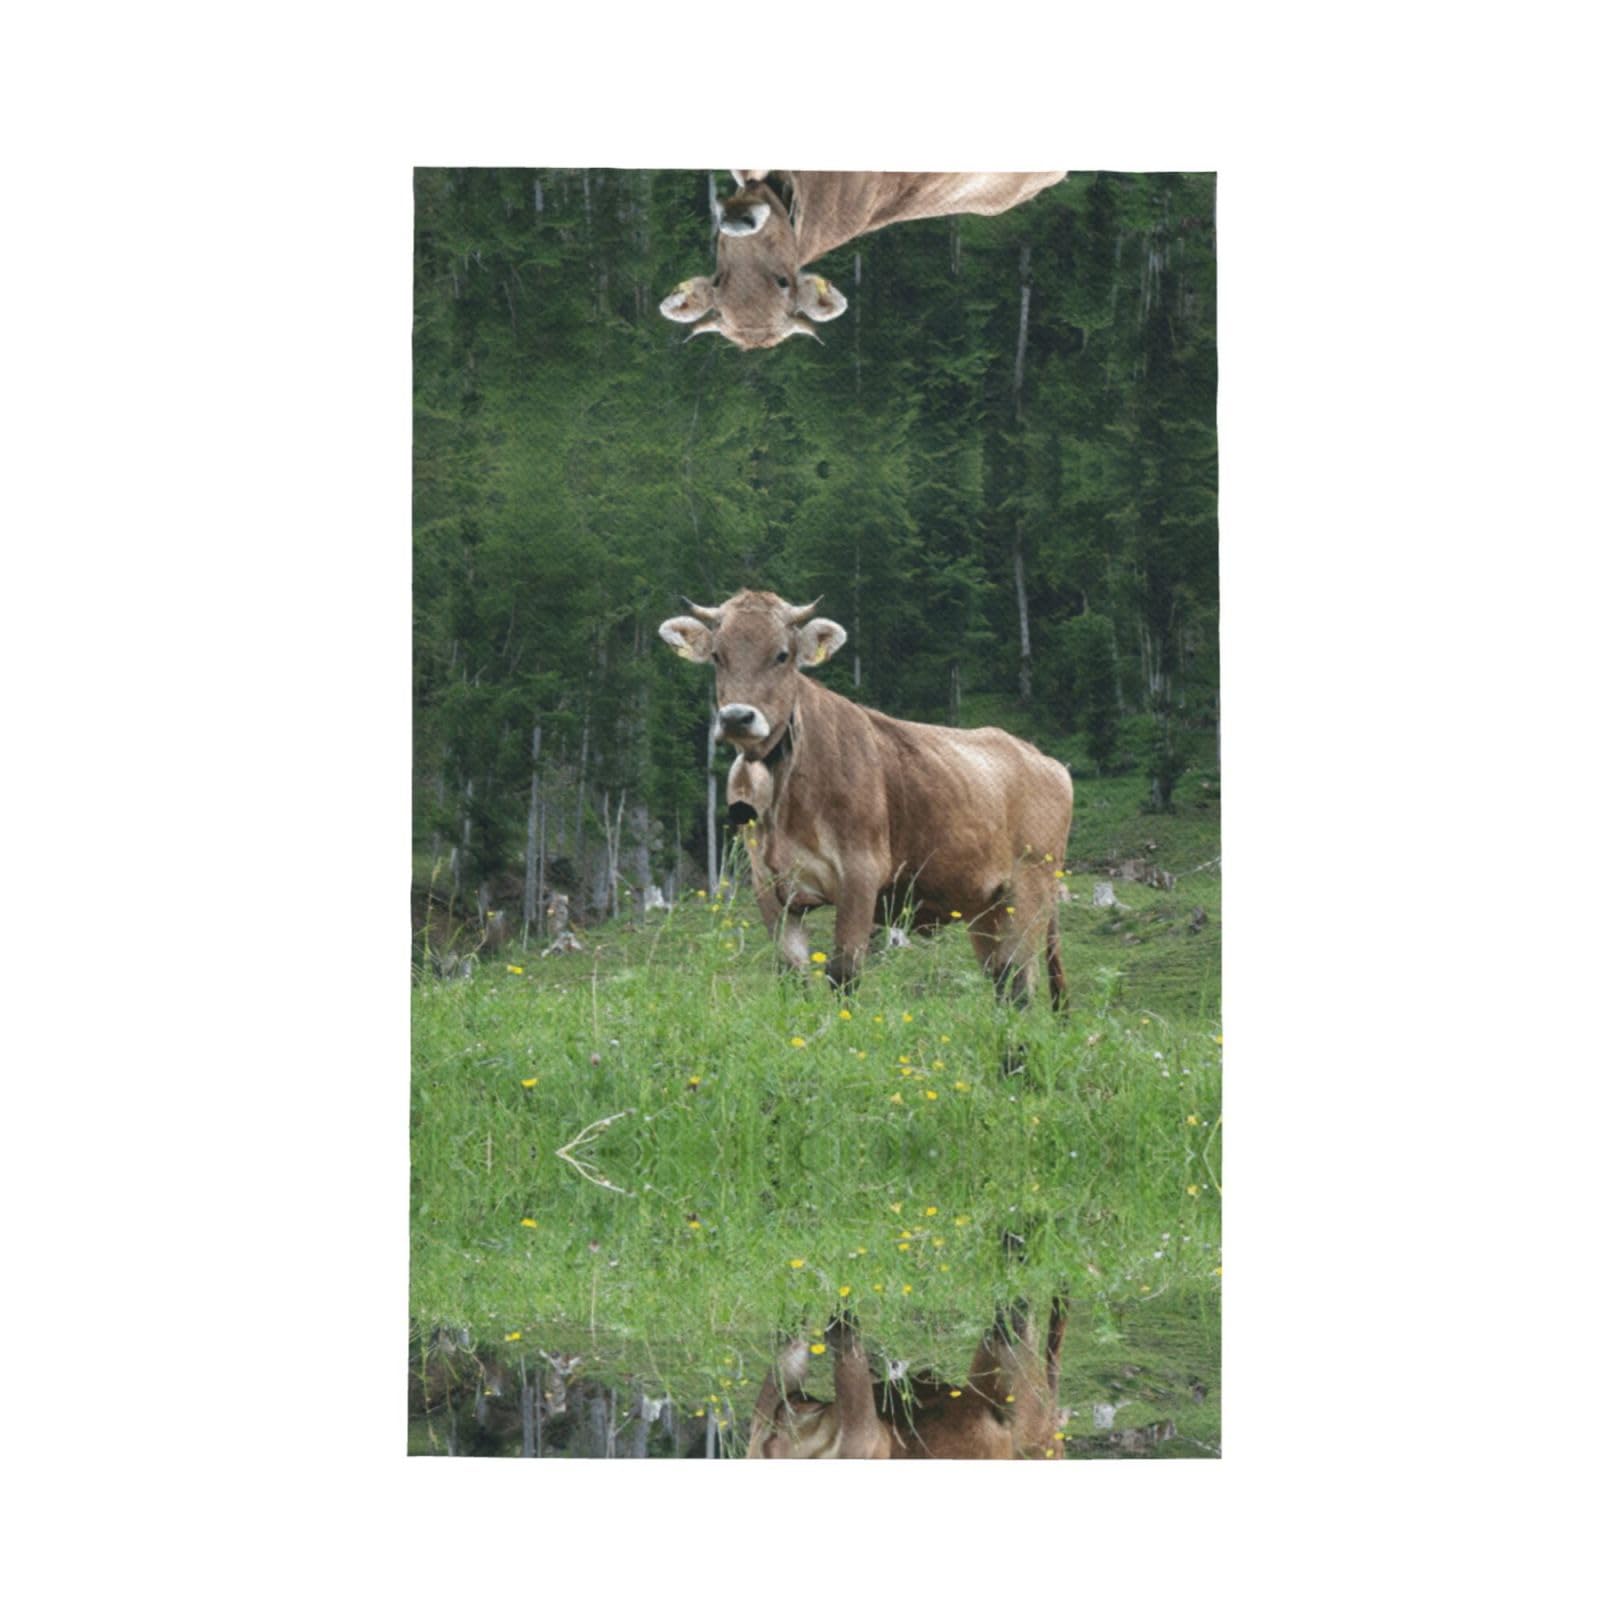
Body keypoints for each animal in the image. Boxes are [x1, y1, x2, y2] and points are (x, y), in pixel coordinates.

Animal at [658, 590, 1074, 1006]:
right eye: (717, 655)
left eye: (782, 655)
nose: (736, 718)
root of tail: (1044, 759)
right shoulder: (769, 885)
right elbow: (792, 977)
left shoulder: (861, 873)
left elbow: (844, 973)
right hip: (984, 905)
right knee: (1002, 980)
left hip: (1030, 887)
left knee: (1021, 982)